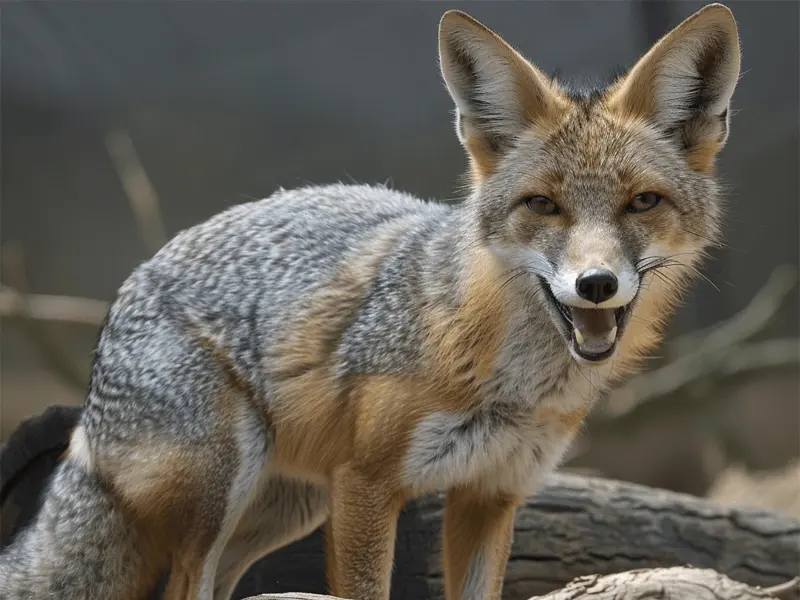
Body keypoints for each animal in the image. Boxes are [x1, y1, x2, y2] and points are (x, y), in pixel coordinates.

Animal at [0, 4, 741, 600]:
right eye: (542, 205)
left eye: (642, 202)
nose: (596, 284)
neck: (509, 378)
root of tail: (129, 288)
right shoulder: (367, 484)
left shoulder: (490, 493)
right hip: (223, 490)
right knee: (184, 586)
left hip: (288, 506)